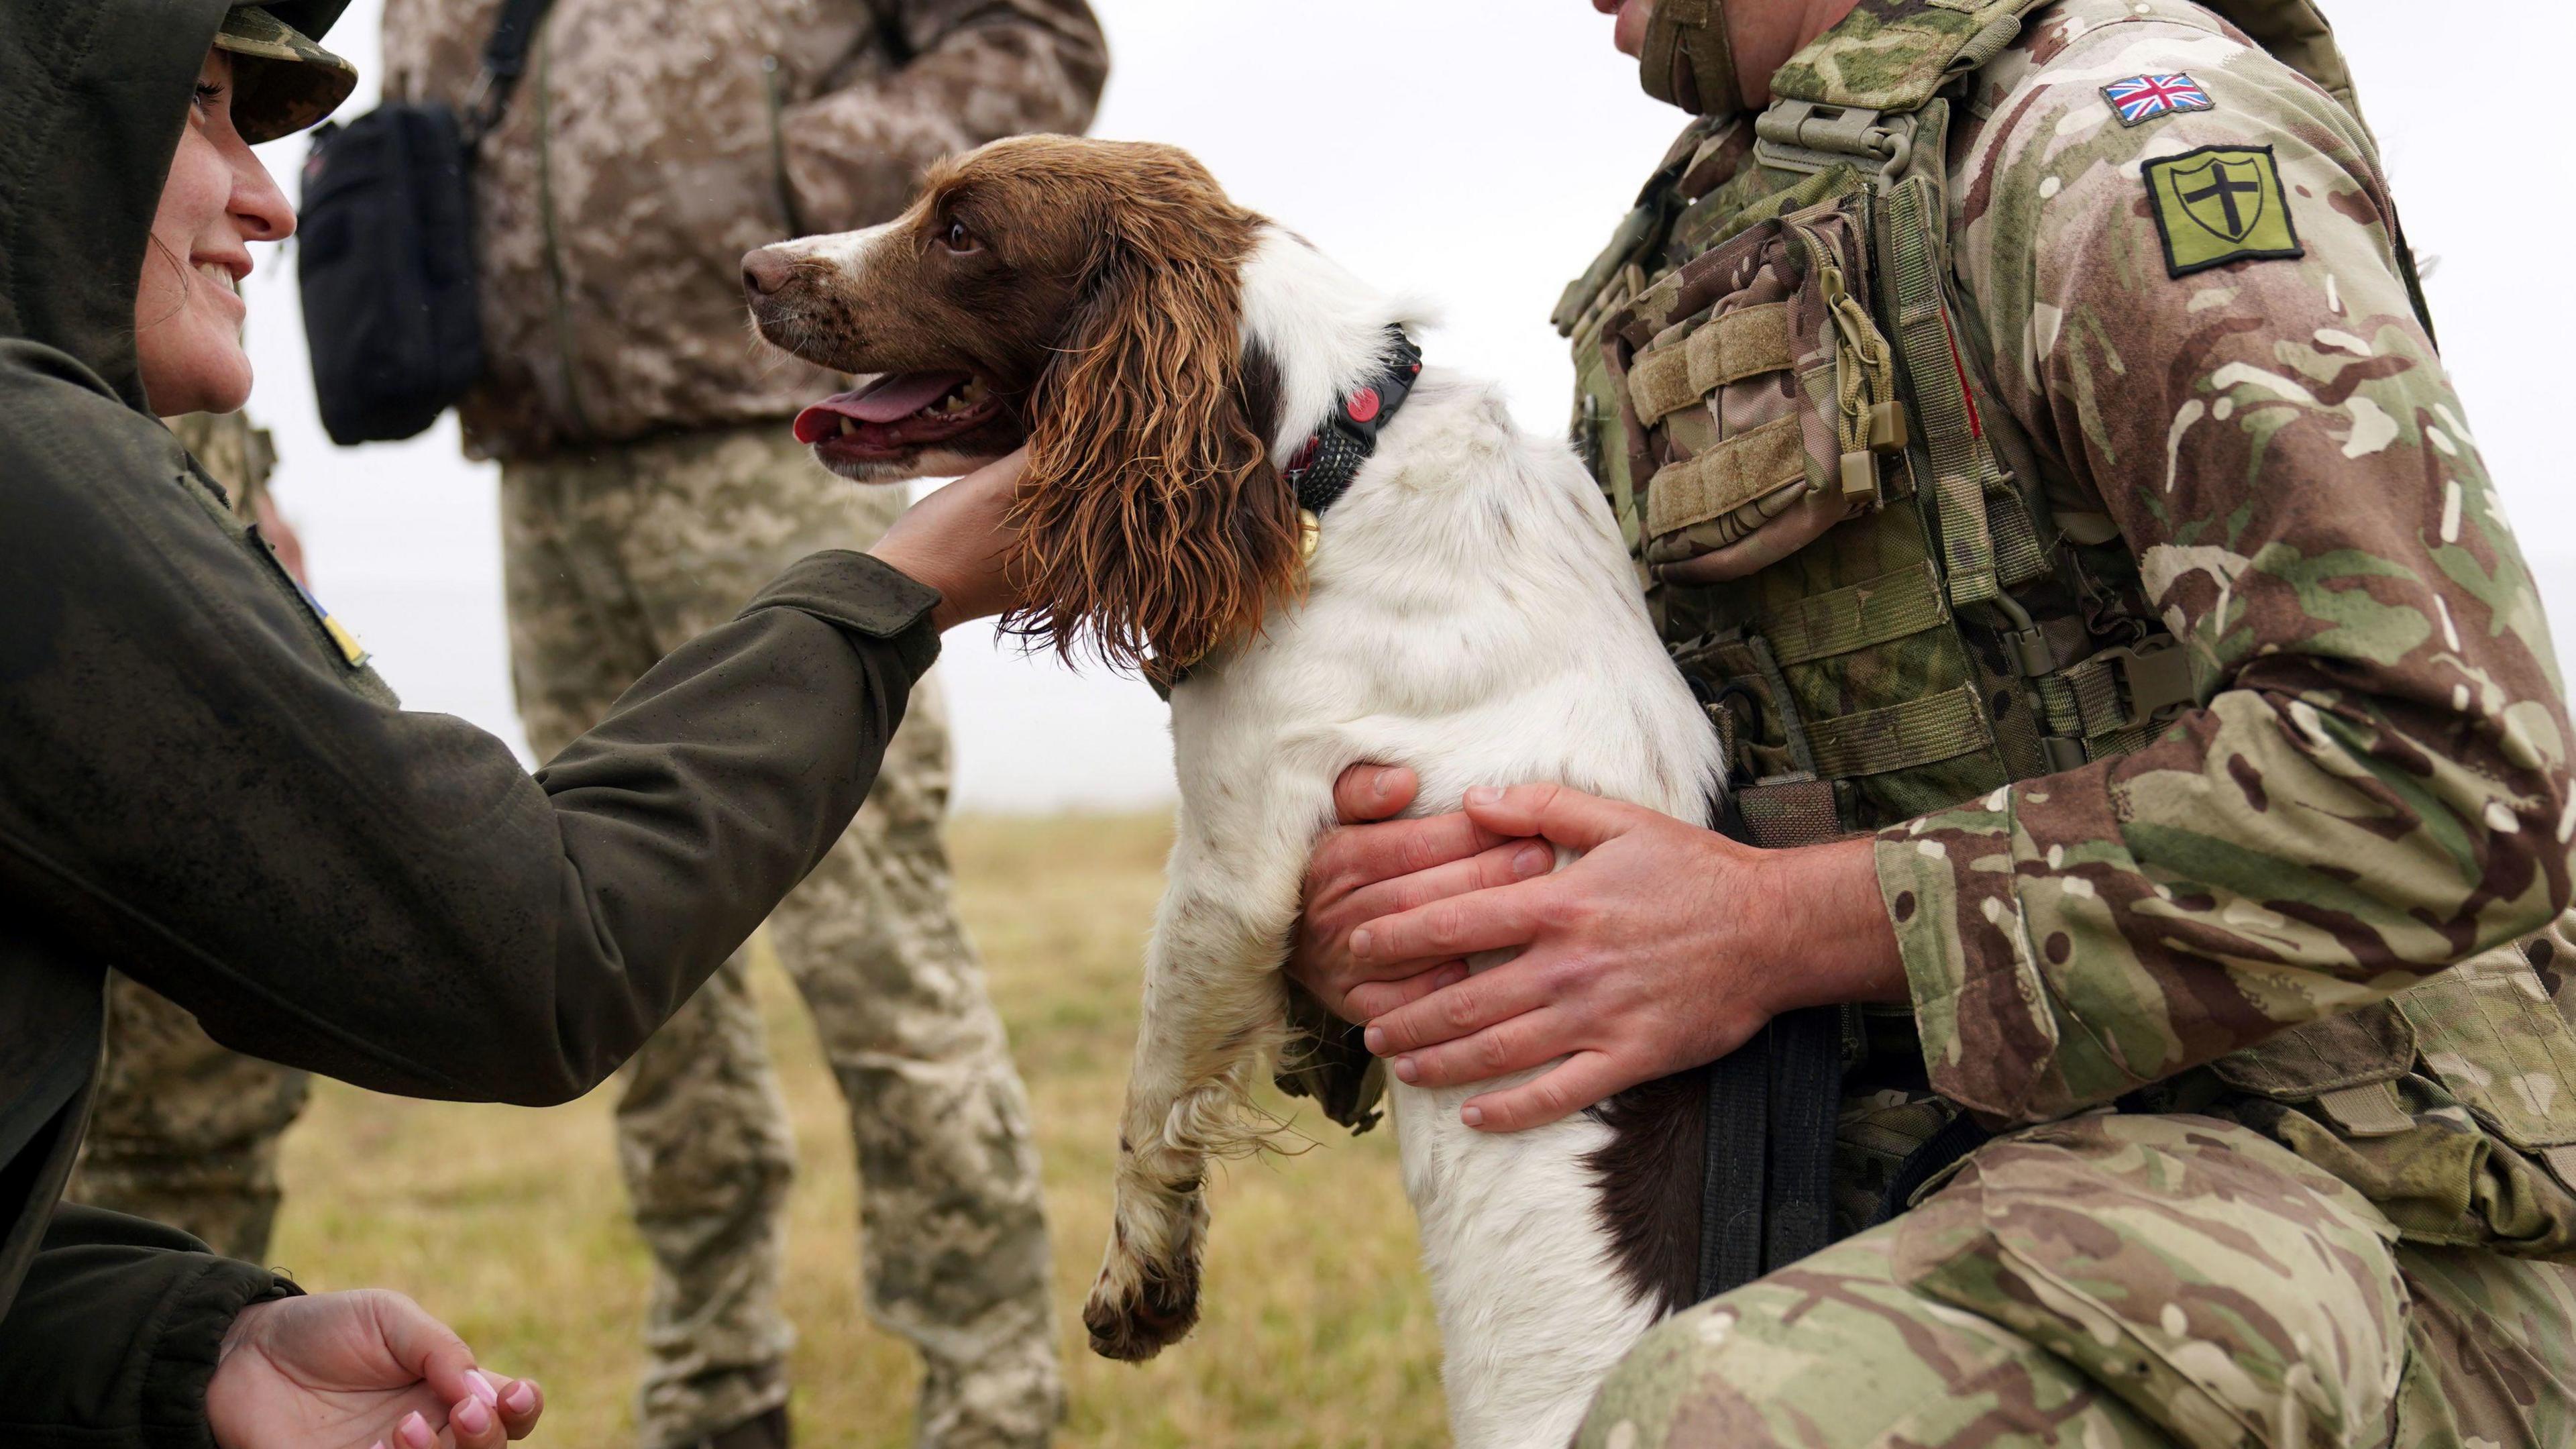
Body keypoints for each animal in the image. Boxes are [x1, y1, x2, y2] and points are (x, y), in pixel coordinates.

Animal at [747, 135, 1731, 1444]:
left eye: (961, 230)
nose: (753, 268)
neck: (1335, 464)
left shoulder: (1229, 871)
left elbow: (1152, 1093)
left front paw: (1139, 1281)